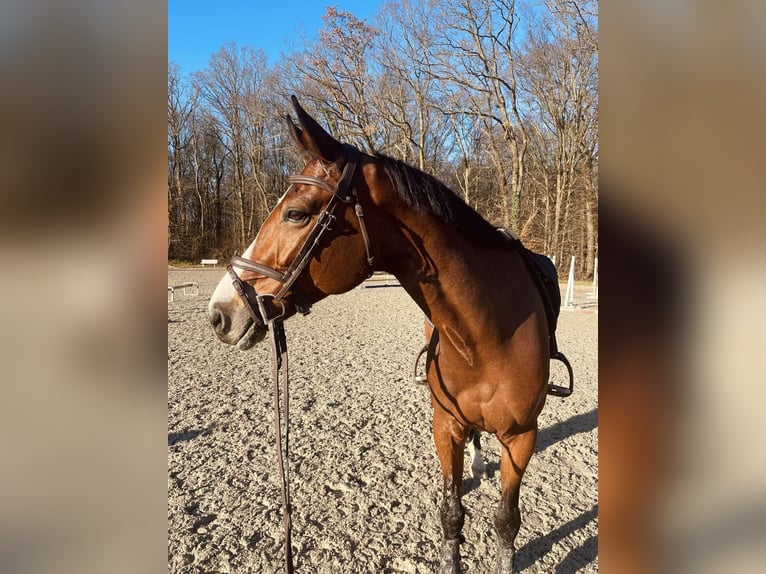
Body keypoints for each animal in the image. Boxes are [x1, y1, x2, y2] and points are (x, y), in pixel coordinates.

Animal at [210, 97, 564, 572]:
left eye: (296, 214)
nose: (220, 312)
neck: (489, 337)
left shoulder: (522, 437)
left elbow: (506, 523)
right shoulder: (445, 425)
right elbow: (452, 515)